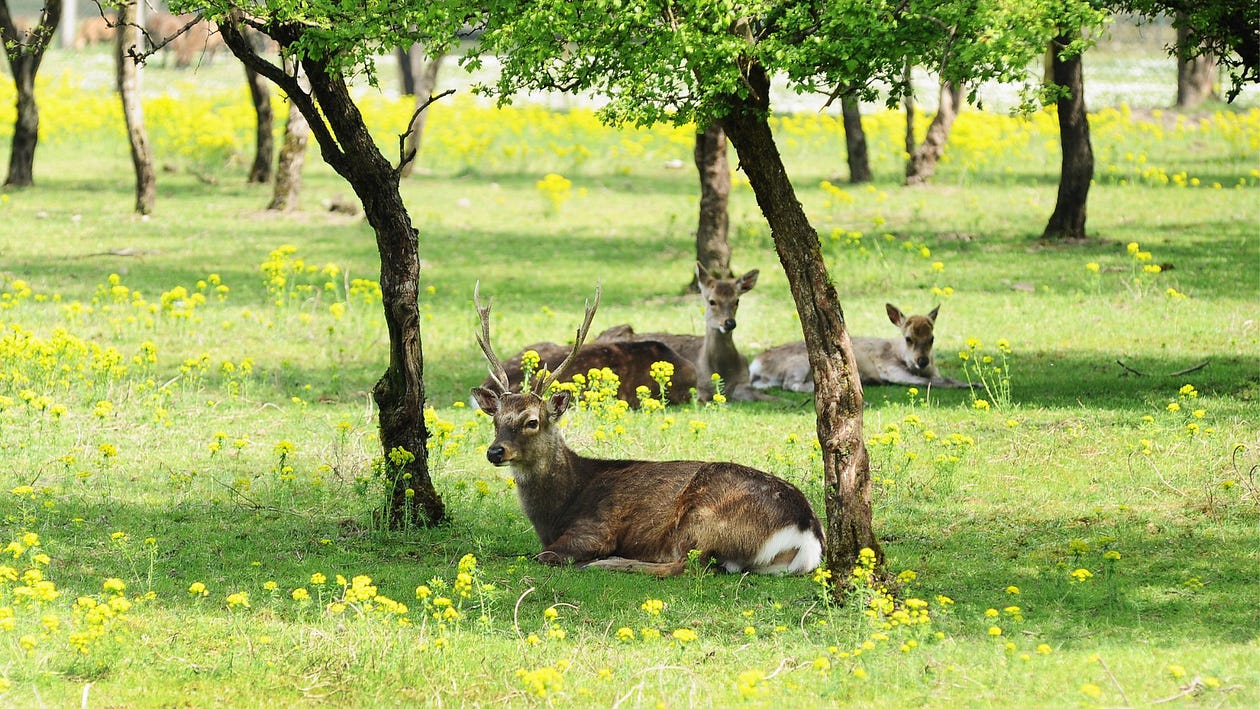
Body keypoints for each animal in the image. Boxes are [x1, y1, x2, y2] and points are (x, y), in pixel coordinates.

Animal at [470, 285, 824, 576]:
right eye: (495, 419)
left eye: (532, 420)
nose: (495, 451)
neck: (559, 508)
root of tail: (807, 534)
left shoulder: (596, 528)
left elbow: (544, 555)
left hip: (705, 518)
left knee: (686, 566)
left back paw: (610, 563)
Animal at [748, 303, 970, 392]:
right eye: (908, 338)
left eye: (932, 338)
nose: (922, 361)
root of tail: (755, 364)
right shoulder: (889, 369)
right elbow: (928, 382)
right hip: (800, 362)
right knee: (790, 384)